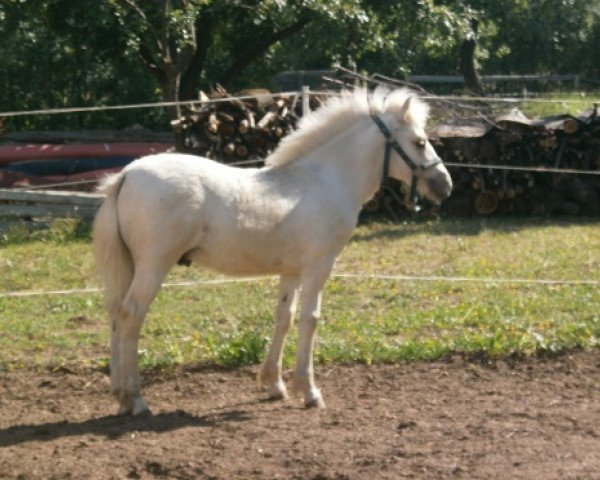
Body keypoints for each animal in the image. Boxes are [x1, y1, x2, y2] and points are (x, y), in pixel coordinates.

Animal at [92, 87, 450, 416]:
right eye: (419, 142)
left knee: (115, 315)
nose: (445, 185)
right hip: (153, 267)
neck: (322, 179)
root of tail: (127, 174)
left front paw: (274, 384)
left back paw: (120, 396)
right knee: (130, 316)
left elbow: (284, 318)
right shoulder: (318, 266)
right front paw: (309, 391)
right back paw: (136, 400)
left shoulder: (290, 270)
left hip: (131, 268)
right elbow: (310, 320)